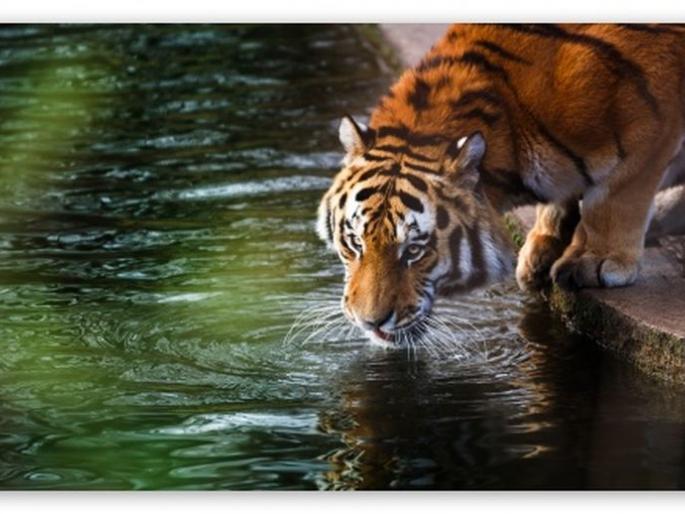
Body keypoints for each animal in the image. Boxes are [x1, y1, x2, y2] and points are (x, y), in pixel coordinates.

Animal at [316, 24, 685, 345]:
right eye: (355, 243)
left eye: (415, 251)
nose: (370, 322)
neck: (509, 116)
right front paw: (542, 247)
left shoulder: (650, 126)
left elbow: (614, 197)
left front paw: (593, 260)